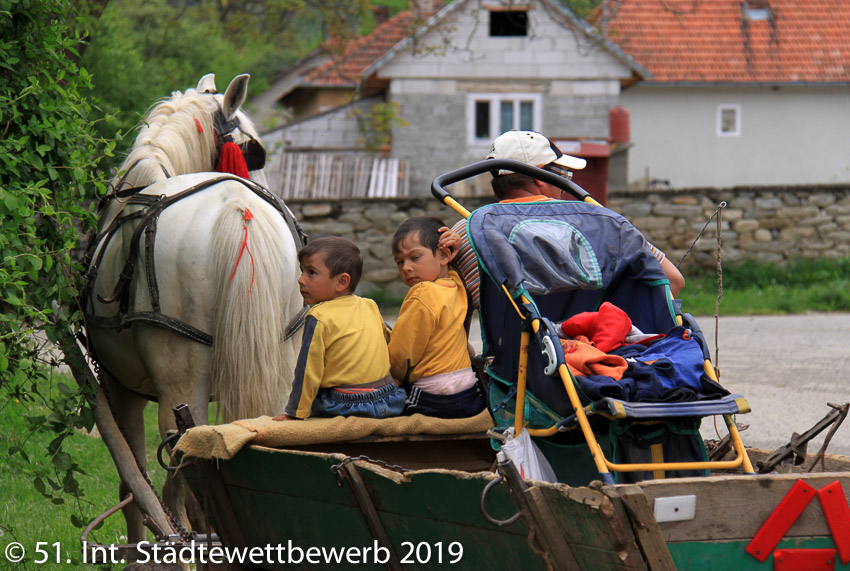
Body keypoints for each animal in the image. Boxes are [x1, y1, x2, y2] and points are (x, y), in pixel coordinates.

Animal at [83, 73, 302, 544]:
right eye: (254, 152)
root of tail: (239, 208)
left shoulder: (120, 388)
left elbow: (136, 486)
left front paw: (139, 547)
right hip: (281, 362)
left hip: (178, 383)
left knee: (181, 470)